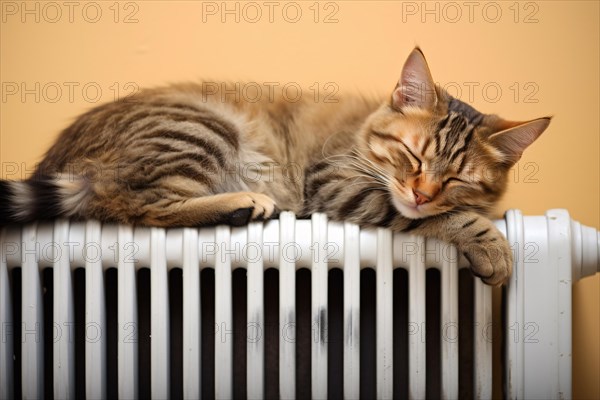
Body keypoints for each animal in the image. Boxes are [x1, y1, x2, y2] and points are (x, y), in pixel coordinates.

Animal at [0, 48, 552, 284]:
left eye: (456, 177)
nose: (421, 193)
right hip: (202, 128)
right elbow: (452, 219)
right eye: (413, 156)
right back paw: (240, 204)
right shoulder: (335, 181)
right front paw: (491, 243)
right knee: (136, 205)